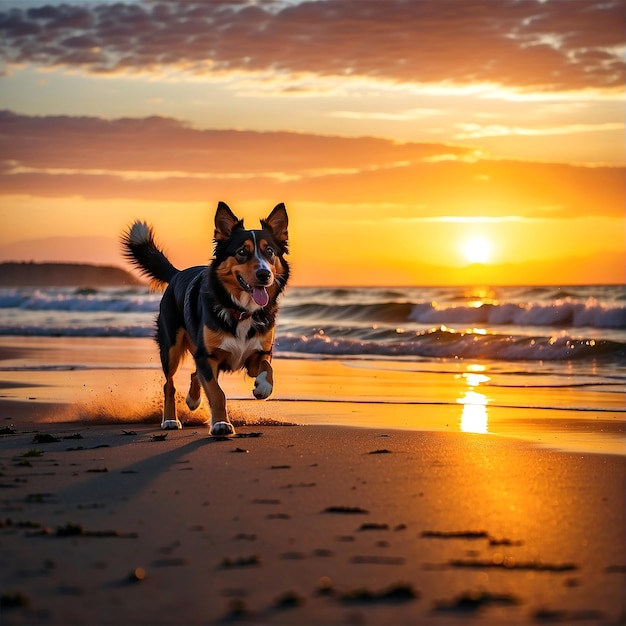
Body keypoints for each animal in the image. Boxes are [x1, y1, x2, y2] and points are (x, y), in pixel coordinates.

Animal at [120, 200, 288, 434]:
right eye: (242, 251)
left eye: (270, 251)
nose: (264, 275)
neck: (240, 309)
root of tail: (177, 274)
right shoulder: (207, 356)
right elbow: (217, 393)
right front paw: (221, 424)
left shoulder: (258, 353)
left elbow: (267, 368)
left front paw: (262, 387)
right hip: (171, 347)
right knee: (169, 384)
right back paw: (170, 420)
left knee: (194, 375)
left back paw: (192, 400)